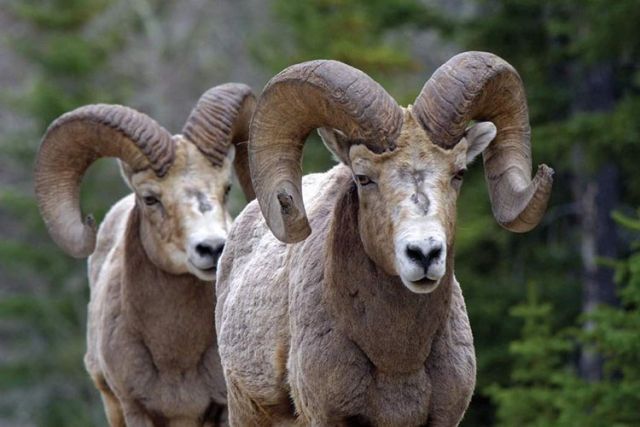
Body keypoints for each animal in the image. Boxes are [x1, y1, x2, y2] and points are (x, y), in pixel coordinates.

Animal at [34, 83, 255, 426]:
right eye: (150, 198)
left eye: (227, 187)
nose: (212, 248)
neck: (176, 358)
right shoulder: (134, 409)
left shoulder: (223, 407)